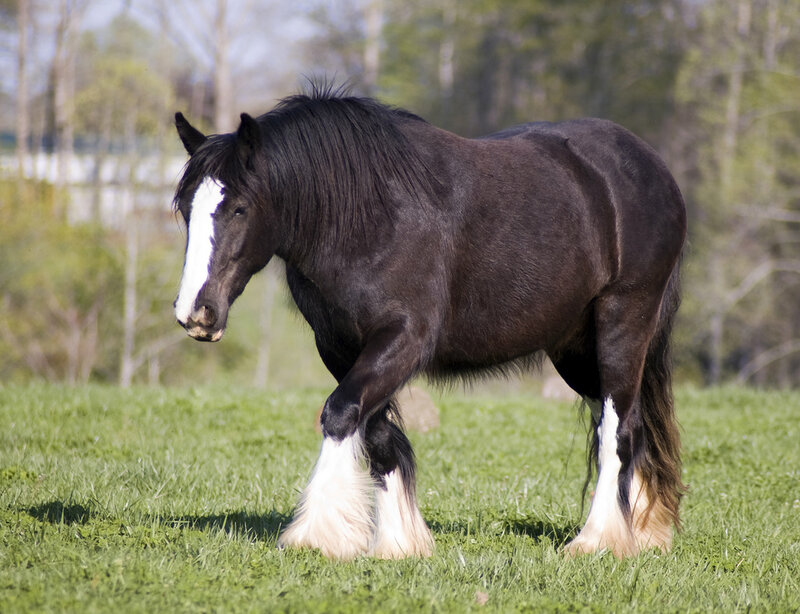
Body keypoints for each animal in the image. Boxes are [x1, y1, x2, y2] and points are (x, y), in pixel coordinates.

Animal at [171, 87, 687, 560]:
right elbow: (376, 432)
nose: (196, 313)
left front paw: (318, 536)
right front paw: (399, 543)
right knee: (629, 422)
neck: (369, 217)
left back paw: (597, 540)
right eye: (185, 208)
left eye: (239, 207)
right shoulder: (341, 346)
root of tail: (652, 168)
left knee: (616, 429)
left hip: (623, 320)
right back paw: (641, 533)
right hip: (576, 351)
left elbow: (339, 412)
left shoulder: (404, 339)